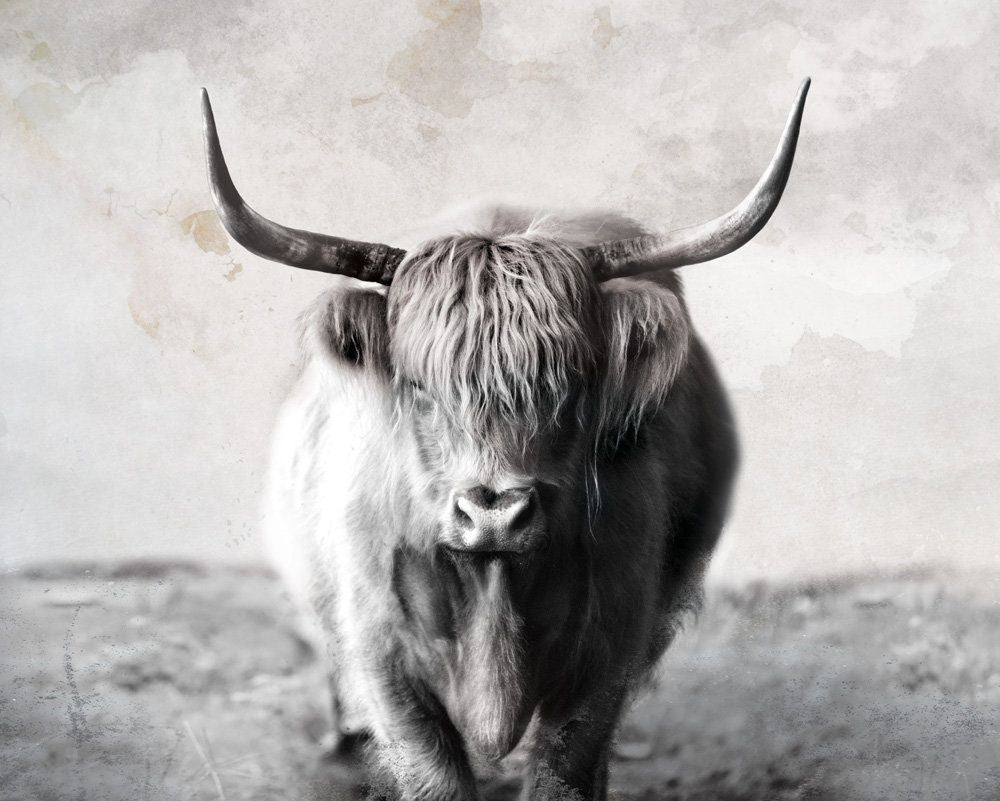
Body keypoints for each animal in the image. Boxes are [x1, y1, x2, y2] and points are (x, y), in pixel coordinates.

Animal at [200, 79, 809, 801]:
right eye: (418, 386)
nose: (493, 513)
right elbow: (430, 768)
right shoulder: (381, 648)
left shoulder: (611, 643)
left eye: (571, 386)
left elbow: (564, 765)